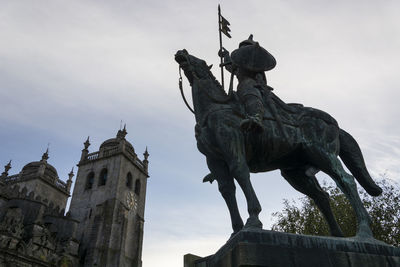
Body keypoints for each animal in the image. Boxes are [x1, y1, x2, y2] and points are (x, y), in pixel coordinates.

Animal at [174, 49, 382, 240]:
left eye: (200, 60)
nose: (181, 53)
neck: (215, 108)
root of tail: (334, 123)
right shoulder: (214, 159)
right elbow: (226, 189)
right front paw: (236, 230)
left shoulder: (232, 146)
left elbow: (241, 173)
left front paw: (253, 220)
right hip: (295, 172)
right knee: (321, 196)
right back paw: (337, 236)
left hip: (323, 155)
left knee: (347, 181)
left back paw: (364, 231)